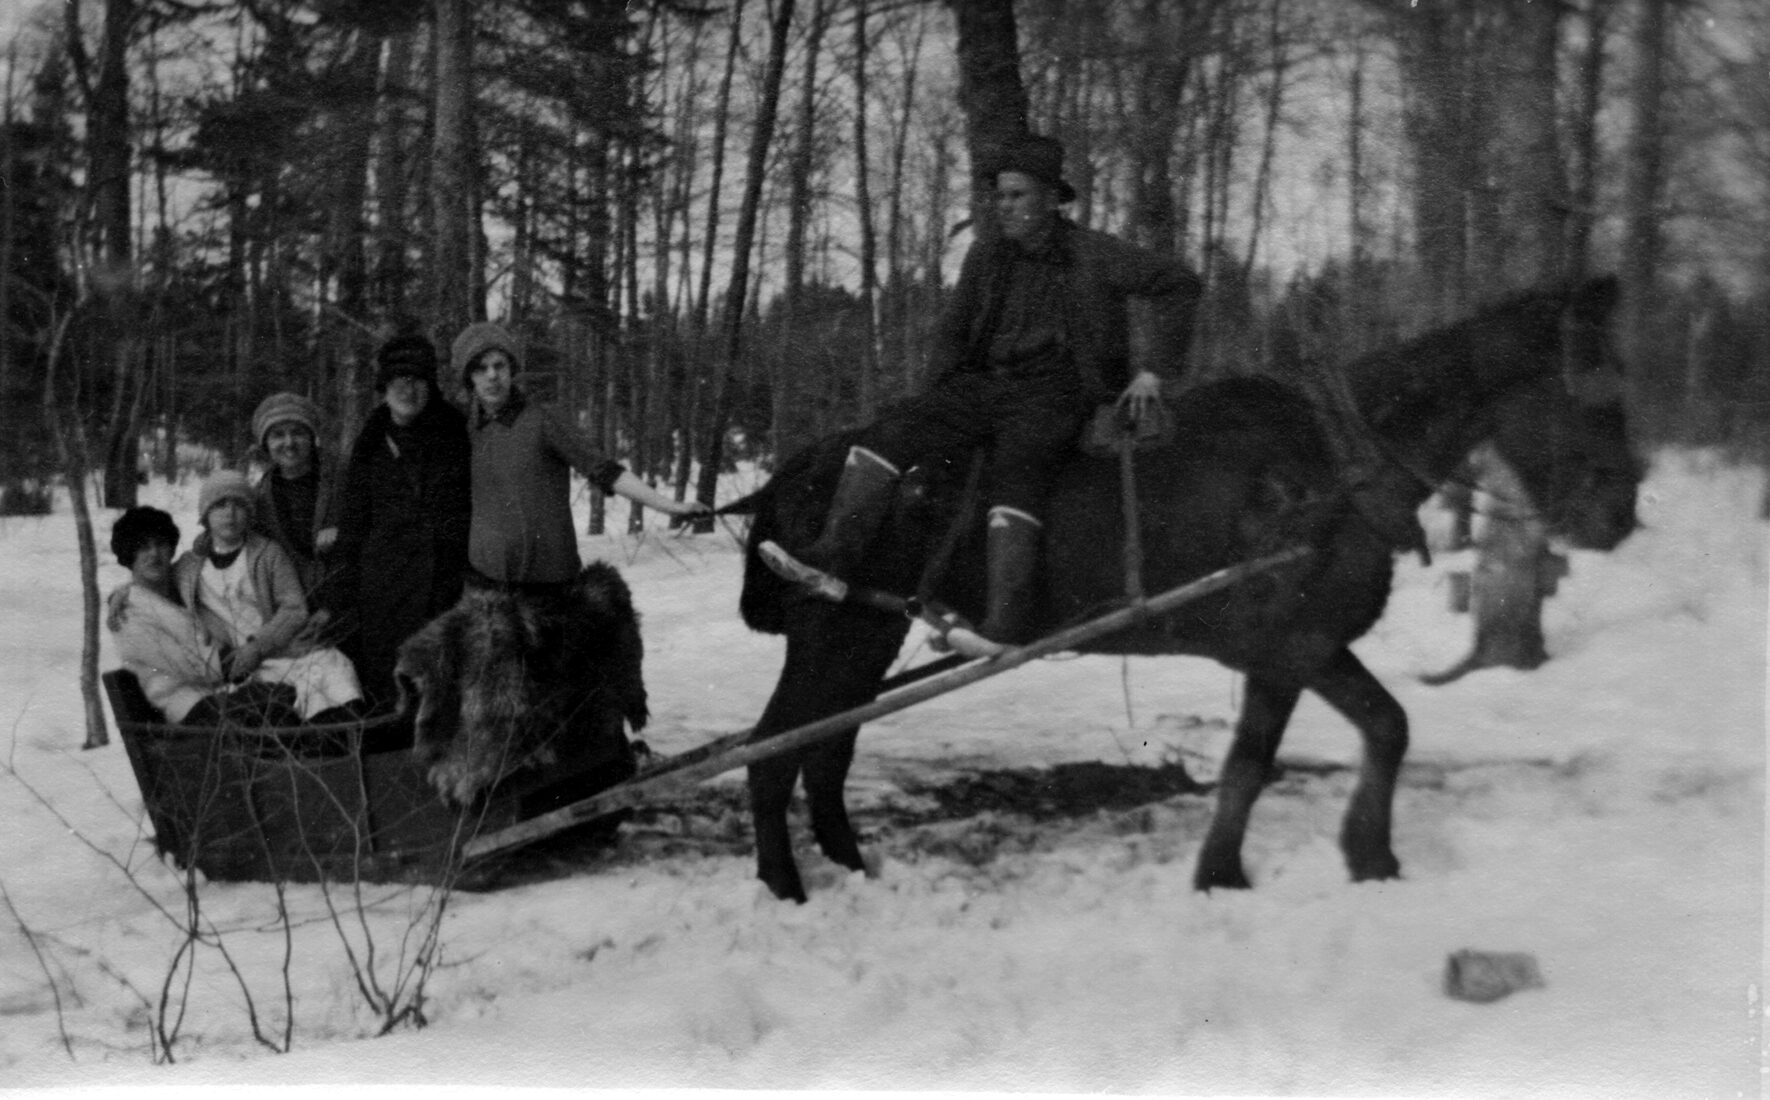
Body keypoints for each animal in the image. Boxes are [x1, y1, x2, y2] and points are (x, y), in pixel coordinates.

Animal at [727, 276, 1641, 903]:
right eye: (1597, 395)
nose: (1620, 515)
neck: (1335, 463)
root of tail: (794, 470)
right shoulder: (1293, 644)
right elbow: (1321, 745)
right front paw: (1279, 867)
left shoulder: (1292, 652)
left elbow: (1330, 744)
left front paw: (1325, 863)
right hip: (833, 633)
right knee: (772, 751)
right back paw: (786, 886)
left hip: (866, 633)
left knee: (822, 753)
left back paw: (852, 866)